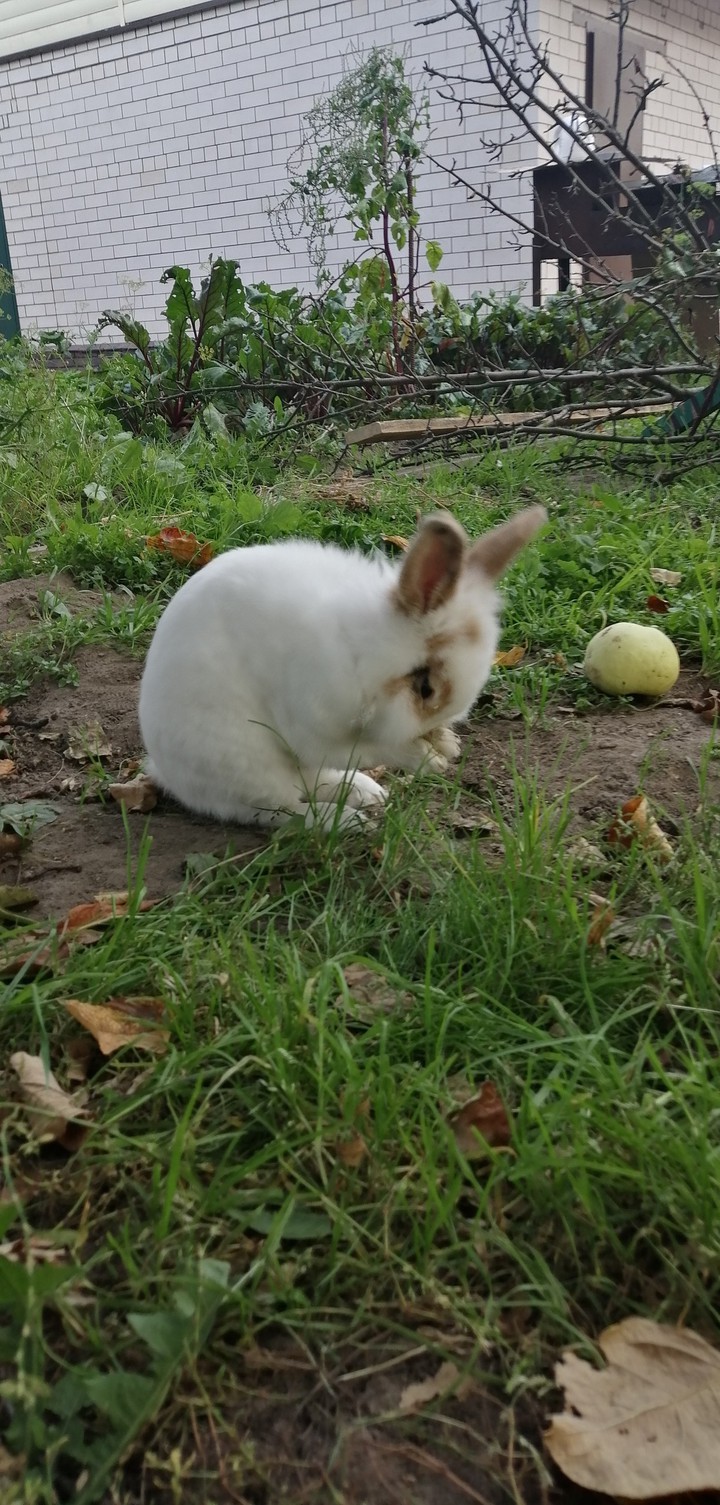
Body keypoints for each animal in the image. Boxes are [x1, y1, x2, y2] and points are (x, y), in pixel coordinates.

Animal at [139, 505, 546, 830]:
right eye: (425, 687)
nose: (433, 736)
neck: (358, 649)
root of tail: (167, 774)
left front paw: (445, 746)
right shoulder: (313, 725)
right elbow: (373, 746)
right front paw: (428, 758)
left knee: (312, 783)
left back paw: (366, 792)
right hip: (250, 770)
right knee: (283, 811)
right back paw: (350, 822)